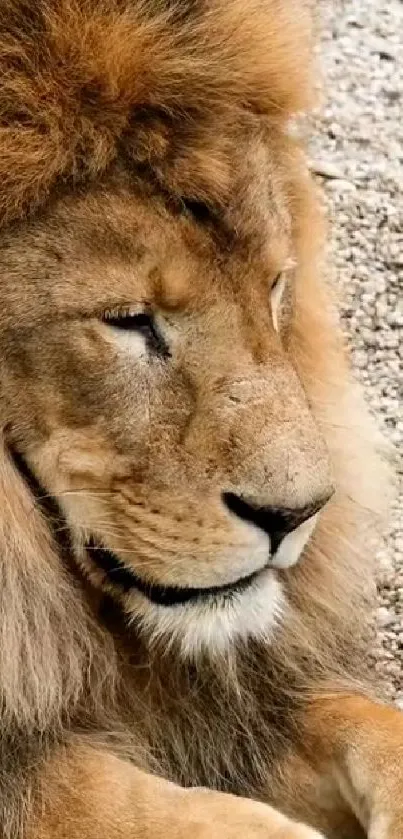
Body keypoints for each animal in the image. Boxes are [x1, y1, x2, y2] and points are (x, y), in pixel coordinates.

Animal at [0, 0, 402, 836]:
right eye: (127, 319)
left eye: (275, 285)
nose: (298, 515)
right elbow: (123, 802)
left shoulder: (232, 707)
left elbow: (364, 721)